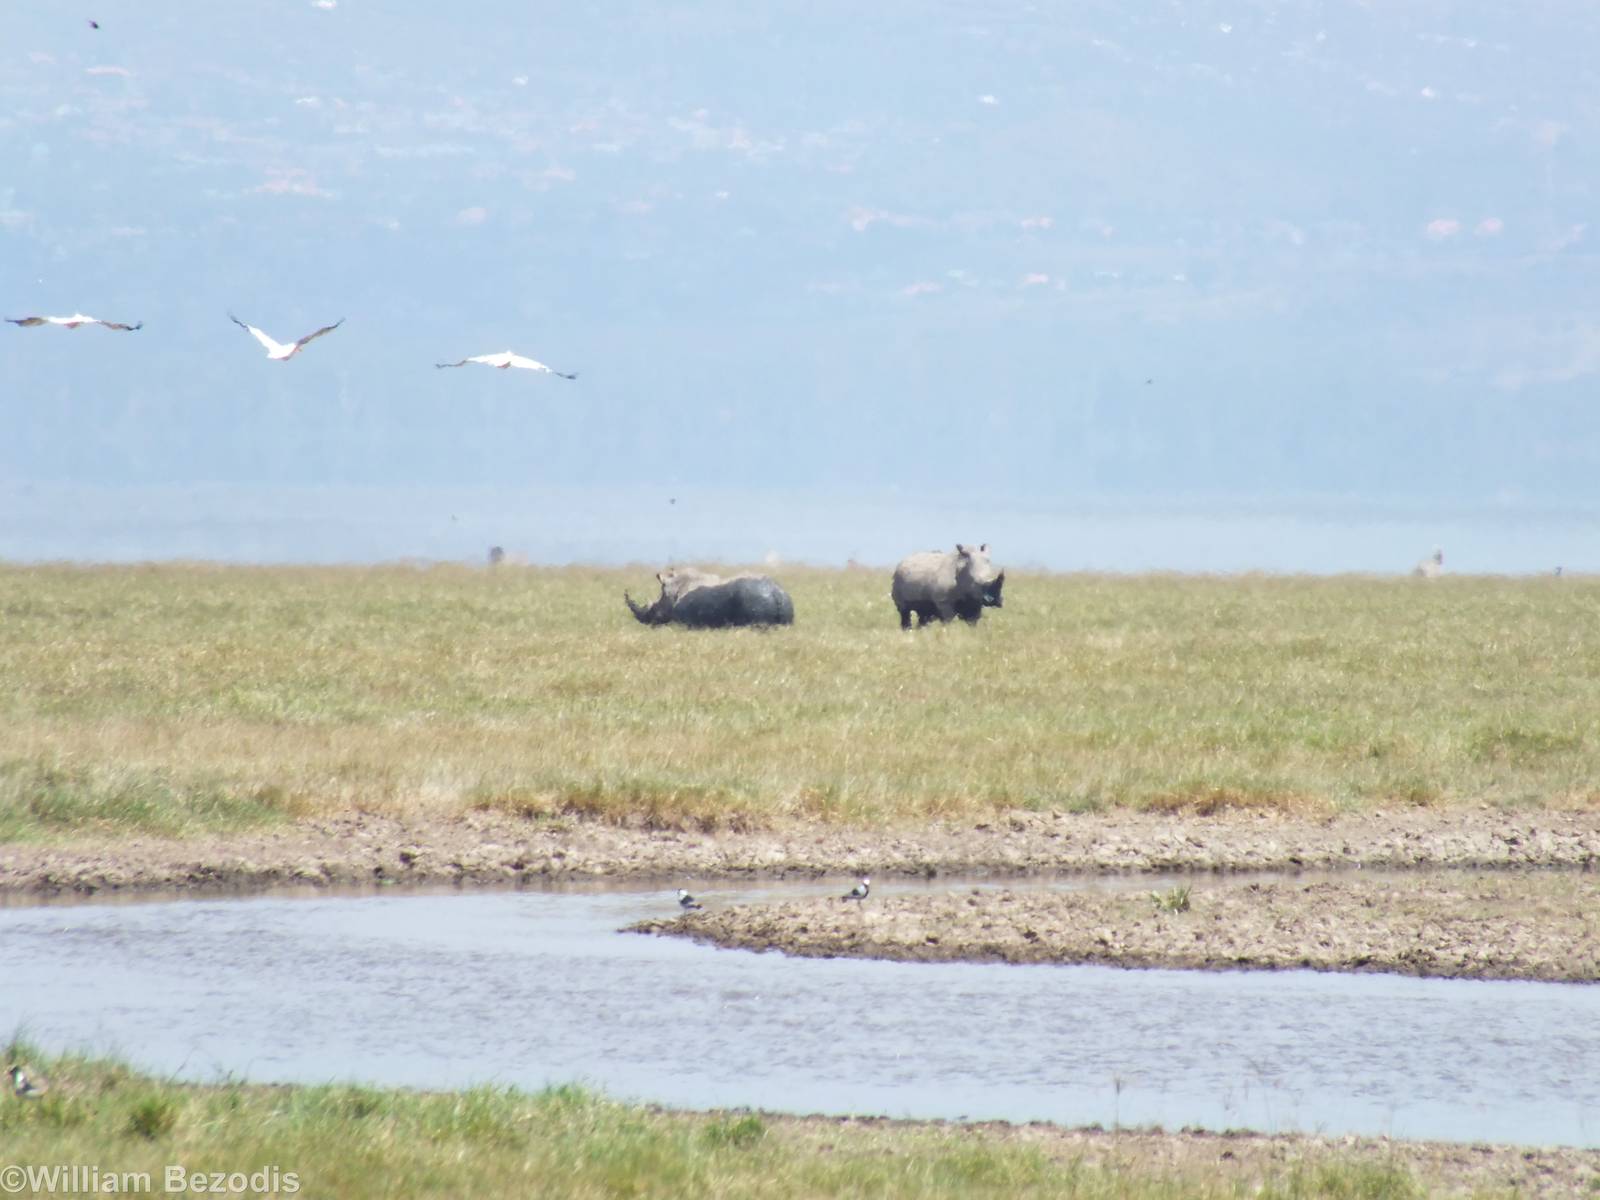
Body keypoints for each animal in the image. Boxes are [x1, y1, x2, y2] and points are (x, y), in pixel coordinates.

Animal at [626, 567, 795, 629]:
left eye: (653, 609)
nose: (644, 621)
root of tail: (777, 594)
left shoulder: (686, 622)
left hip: (756, 602)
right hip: (786, 603)